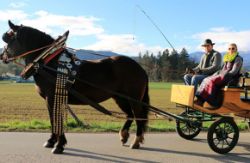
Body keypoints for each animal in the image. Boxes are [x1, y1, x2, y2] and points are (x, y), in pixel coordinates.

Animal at [0, 20, 148, 154]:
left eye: (7, 39)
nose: (2, 56)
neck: (49, 61)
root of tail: (140, 68)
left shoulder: (52, 97)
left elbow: (56, 119)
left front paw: (59, 145)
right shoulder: (52, 99)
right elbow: (53, 119)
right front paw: (51, 141)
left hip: (134, 99)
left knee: (138, 116)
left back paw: (136, 141)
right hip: (120, 98)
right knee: (130, 115)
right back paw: (124, 135)